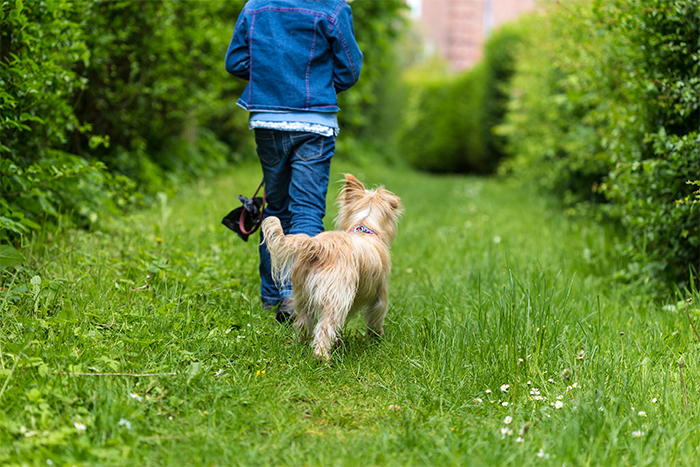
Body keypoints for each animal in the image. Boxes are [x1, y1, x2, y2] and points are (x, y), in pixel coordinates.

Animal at [262, 176, 404, 362]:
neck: (365, 226)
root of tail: (318, 246)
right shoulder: (379, 296)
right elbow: (376, 318)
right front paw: (376, 338)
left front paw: (339, 342)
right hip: (336, 298)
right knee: (325, 327)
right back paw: (321, 357)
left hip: (302, 296)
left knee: (303, 323)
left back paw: (301, 345)